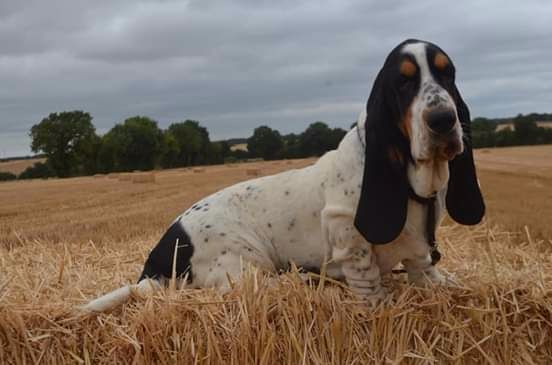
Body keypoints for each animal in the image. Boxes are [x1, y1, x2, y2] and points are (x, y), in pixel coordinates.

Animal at [81, 40, 484, 312]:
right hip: (247, 263)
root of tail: (159, 257)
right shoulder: (349, 239)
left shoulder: (419, 251)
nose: (443, 120)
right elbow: (370, 286)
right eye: (403, 83)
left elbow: (427, 271)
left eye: (448, 74)